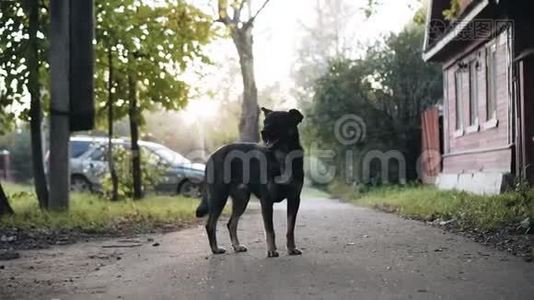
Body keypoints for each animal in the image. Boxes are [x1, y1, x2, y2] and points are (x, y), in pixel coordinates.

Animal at [197, 108, 306, 258]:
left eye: (279, 121)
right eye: (265, 121)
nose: (263, 132)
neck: (282, 155)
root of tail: (212, 155)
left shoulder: (294, 199)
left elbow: (290, 229)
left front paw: (291, 248)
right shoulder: (266, 201)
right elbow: (270, 230)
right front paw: (271, 250)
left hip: (241, 199)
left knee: (231, 223)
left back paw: (236, 246)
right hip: (219, 197)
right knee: (211, 224)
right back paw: (215, 249)